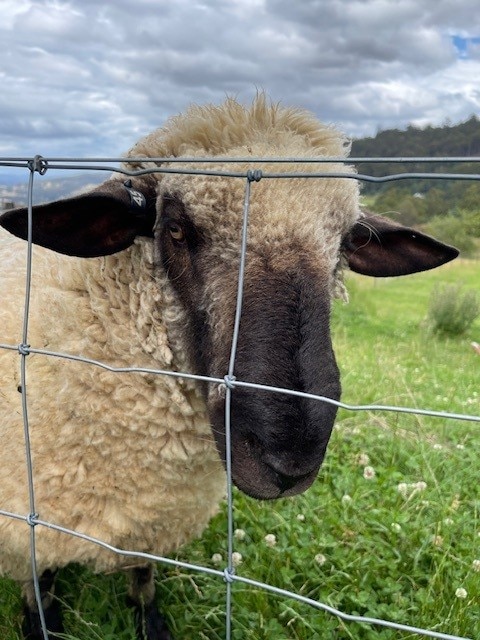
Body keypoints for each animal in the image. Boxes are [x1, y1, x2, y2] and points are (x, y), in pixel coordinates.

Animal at [0, 95, 458, 640]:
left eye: (346, 243)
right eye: (175, 229)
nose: (289, 462)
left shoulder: (149, 518)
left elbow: (144, 577)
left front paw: (151, 623)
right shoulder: (29, 521)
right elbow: (40, 588)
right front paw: (42, 622)